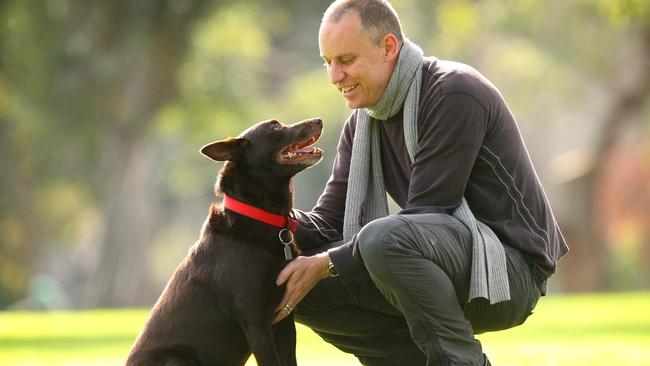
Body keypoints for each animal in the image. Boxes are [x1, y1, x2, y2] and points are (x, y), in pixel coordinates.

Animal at [125, 118, 322, 364]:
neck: (259, 216)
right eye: (275, 127)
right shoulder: (256, 322)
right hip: (178, 358)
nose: (318, 120)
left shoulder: (285, 320)